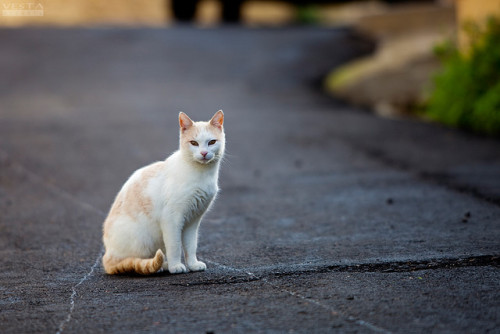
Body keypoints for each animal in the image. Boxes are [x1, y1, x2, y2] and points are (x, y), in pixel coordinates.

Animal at [101, 111, 225, 276]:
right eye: (194, 143)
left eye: (211, 142)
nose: (204, 153)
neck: (201, 174)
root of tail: (107, 256)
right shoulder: (172, 219)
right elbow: (175, 246)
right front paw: (176, 266)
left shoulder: (193, 221)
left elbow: (191, 246)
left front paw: (192, 264)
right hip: (143, 240)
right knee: (131, 262)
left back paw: (163, 265)